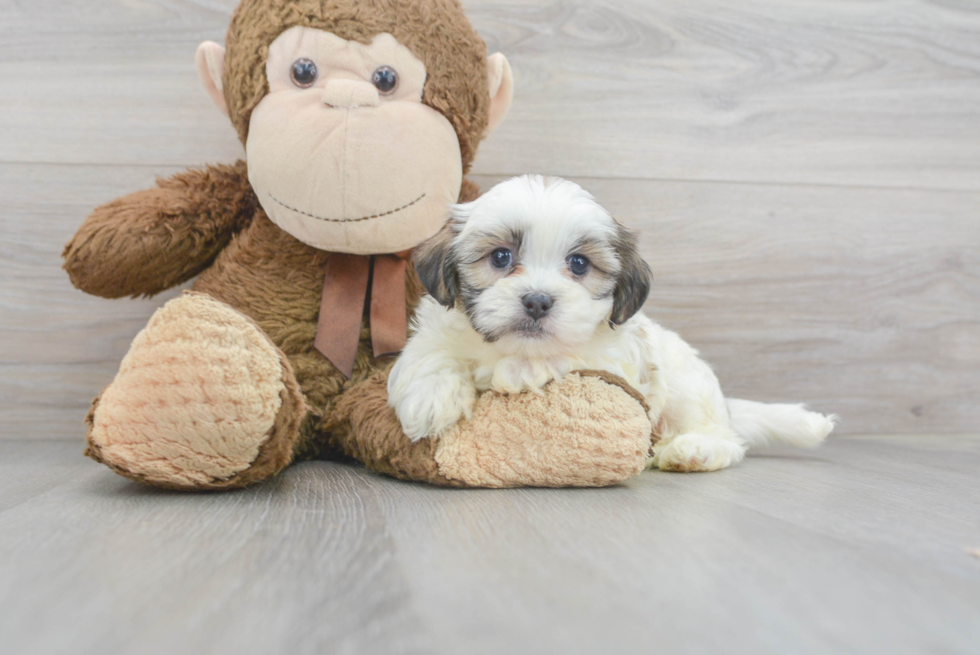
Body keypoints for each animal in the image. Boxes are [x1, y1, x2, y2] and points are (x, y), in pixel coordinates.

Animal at [384, 174, 836, 472]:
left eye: (579, 264)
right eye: (500, 257)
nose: (537, 300)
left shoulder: (615, 359)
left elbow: (567, 357)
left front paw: (519, 370)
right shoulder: (436, 327)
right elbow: (430, 354)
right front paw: (431, 399)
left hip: (689, 390)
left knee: (727, 439)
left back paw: (693, 450)